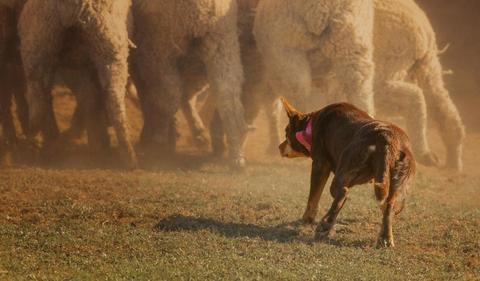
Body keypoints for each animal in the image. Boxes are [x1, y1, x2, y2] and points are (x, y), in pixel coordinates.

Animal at [17, 0, 137, 166]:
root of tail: (72, 6)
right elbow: (91, 99)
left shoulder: (79, 66)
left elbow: (89, 99)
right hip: (110, 47)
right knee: (113, 98)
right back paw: (128, 156)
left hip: (38, 42)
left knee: (38, 99)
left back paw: (36, 147)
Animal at [131, 0, 248, 168]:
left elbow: (157, 97)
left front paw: (157, 139)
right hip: (217, 46)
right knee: (223, 93)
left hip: (165, 49)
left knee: (172, 95)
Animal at [280, 97, 414, 246]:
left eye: (286, 133)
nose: (279, 147)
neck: (312, 124)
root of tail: (387, 140)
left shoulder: (320, 165)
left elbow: (313, 197)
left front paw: (306, 219)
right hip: (399, 182)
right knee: (389, 204)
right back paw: (385, 238)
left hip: (345, 171)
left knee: (342, 193)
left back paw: (325, 225)